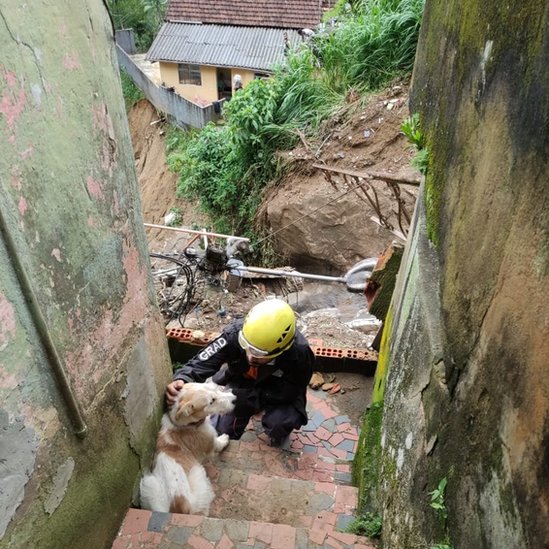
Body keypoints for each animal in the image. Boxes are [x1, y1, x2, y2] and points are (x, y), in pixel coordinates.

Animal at [138, 382, 234, 512]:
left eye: (213, 388)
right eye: (212, 401)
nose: (234, 399)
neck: (186, 425)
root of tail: (179, 507)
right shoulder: (211, 443)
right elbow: (218, 444)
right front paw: (224, 439)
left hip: (149, 484)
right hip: (198, 474)